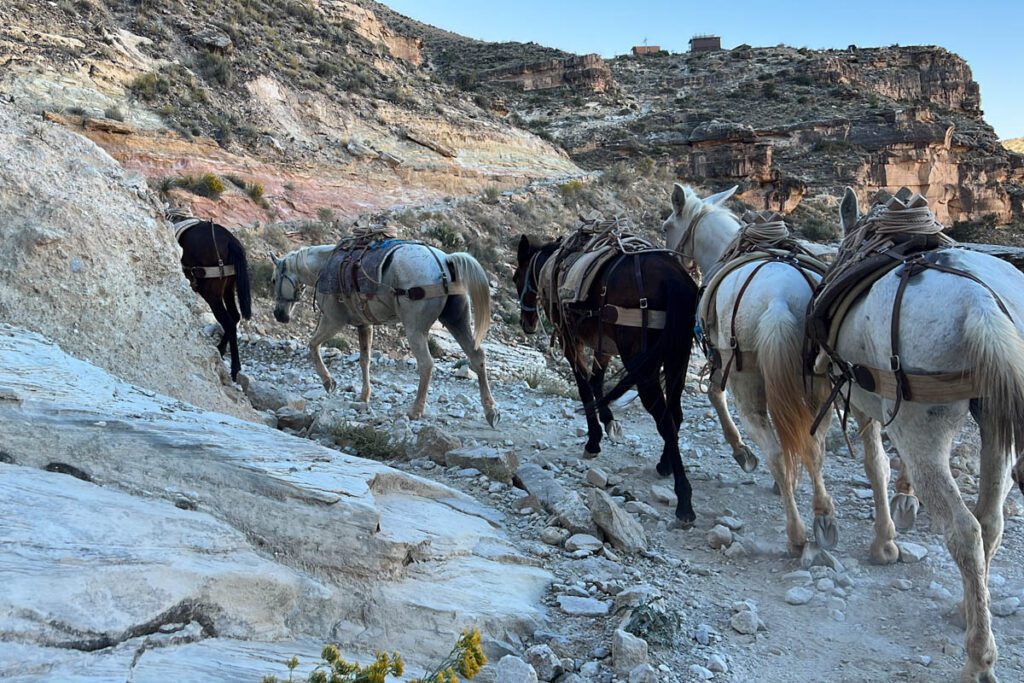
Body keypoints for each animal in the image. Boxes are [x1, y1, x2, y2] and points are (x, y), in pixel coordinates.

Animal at [173, 216, 250, 382]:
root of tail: (230, 240)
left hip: (211, 292)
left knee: (228, 322)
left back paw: (235, 368)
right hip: (228, 287)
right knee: (234, 316)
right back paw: (220, 350)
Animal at [516, 235, 700, 524]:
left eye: (516, 278)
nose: (527, 322)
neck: (552, 267)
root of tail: (674, 278)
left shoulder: (570, 339)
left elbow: (583, 385)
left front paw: (593, 440)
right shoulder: (604, 345)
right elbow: (596, 381)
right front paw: (608, 420)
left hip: (645, 368)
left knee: (665, 421)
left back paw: (684, 499)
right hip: (676, 360)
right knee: (675, 413)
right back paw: (665, 464)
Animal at [663, 185, 839, 557]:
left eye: (667, 226)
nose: (677, 262)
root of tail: (778, 301)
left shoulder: (722, 361)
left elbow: (715, 395)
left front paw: (741, 452)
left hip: (746, 382)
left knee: (775, 450)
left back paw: (796, 533)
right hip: (818, 383)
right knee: (814, 445)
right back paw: (823, 516)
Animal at [831, 188, 1024, 683]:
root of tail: (981, 300)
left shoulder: (865, 404)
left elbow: (875, 465)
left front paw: (884, 543)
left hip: (922, 429)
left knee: (964, 530)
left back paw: (978, 659)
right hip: (997, 417)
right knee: (989, 521)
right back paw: (969, 611)